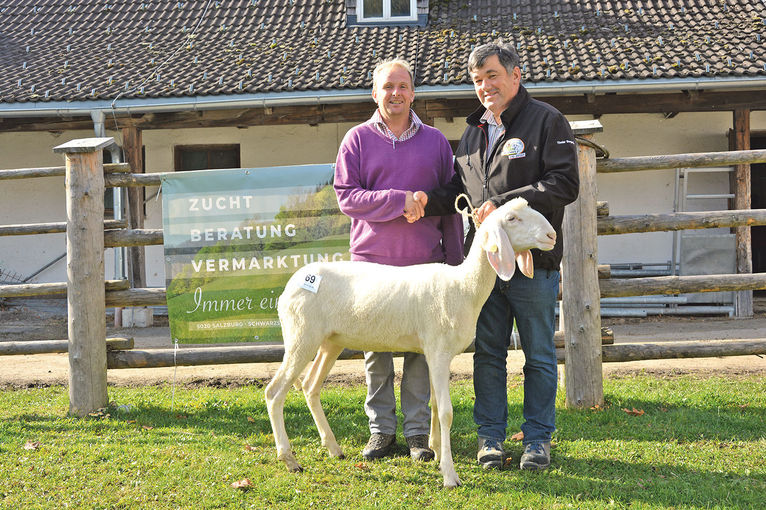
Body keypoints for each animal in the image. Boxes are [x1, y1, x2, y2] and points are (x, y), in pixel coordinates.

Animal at [266, 197, 560, 488]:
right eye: (511, 218)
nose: (552, 235)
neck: (463, 287)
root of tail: (292, 284)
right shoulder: (439, 351)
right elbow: (446, 412)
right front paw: (450, 474)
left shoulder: (435, 353)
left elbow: (434, 405)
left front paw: (437, 451)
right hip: (301, 335)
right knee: (274, 392)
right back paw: (289, 459)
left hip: (329, 341)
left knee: (309, 386)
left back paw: (333, 448)